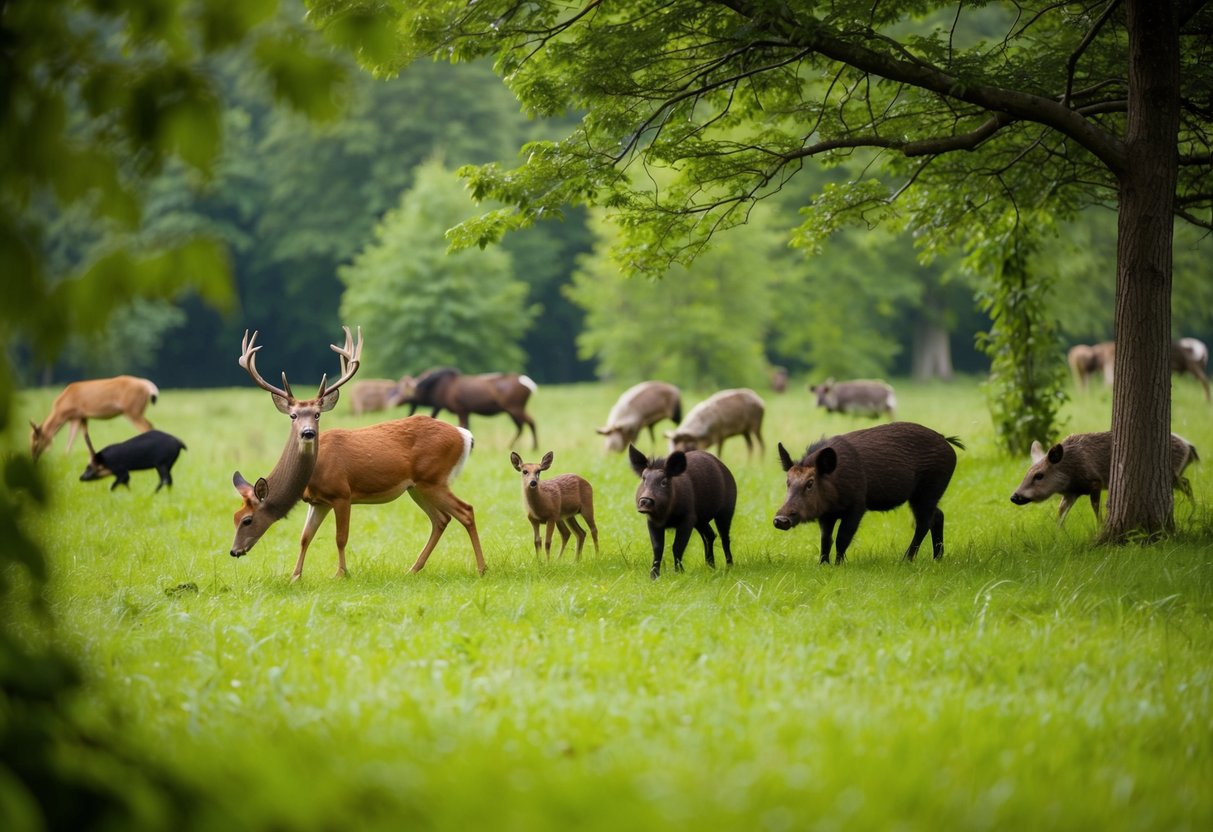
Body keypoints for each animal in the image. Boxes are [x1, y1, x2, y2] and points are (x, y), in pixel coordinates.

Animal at [29, 375, 159, 460]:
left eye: (35, 439)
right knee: (150, 425)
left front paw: (65, 457)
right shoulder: (81, 416)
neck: (61, 409)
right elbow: (85, 437)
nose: (33, 457)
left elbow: (72, 437)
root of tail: (149, 387)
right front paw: (92, 458)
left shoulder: (75, 415)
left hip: (132, 410)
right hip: (135, 410)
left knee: (146, 427)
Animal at [229, 327, 487, 580]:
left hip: (433, 478)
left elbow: (340, 538)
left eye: (247, 519)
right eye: (234, 517)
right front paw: (295, 576)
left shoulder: (342, 493)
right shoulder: (318, 501)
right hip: (417, 487)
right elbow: (305, 537)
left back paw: (481, 568)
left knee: (466, 511)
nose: (234, 551)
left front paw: (341, 574)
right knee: (441, 519)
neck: (311, 477)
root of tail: (464, 435)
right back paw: (413, 569)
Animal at [628, 443, 737, 579]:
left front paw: (679, 573)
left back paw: (729, 567)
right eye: (644, 479)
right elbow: (658, 547)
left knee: (724, 537)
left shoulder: (687, 519)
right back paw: (710, 566)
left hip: (726, 510)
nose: (645, 501)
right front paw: (653, 576)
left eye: (664, 482)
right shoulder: (652, 522)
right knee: (710, 535)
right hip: (700, 520)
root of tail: (726, 469)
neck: (666, 515)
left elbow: (677, 546)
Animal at [774, 422, 963, 563]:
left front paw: (838, 565)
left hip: (928, 491)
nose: (780, 519)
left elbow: (843, 537)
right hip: (925, 496)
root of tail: (948, 442)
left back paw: (906, 559)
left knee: (924, 522)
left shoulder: (857, 506)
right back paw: (937, 558)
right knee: (938, 515)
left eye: (810, 483)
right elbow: (826, 539)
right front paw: (823, 564)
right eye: (787, 481)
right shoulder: (826, 514)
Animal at [1010, 431, 1199, 525]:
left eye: (1039, 475)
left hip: (1171, 473)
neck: (1070, 471)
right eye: (1027, 473)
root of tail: (1188, 446)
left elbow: (1095, 507)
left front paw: (1100, 526)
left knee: (1187, 483)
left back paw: (1193, 512)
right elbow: (1061, 511)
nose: (1014, 496)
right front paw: (1057, 530)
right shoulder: (1071, 492)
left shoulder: (1095, 481)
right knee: (1186, 482)